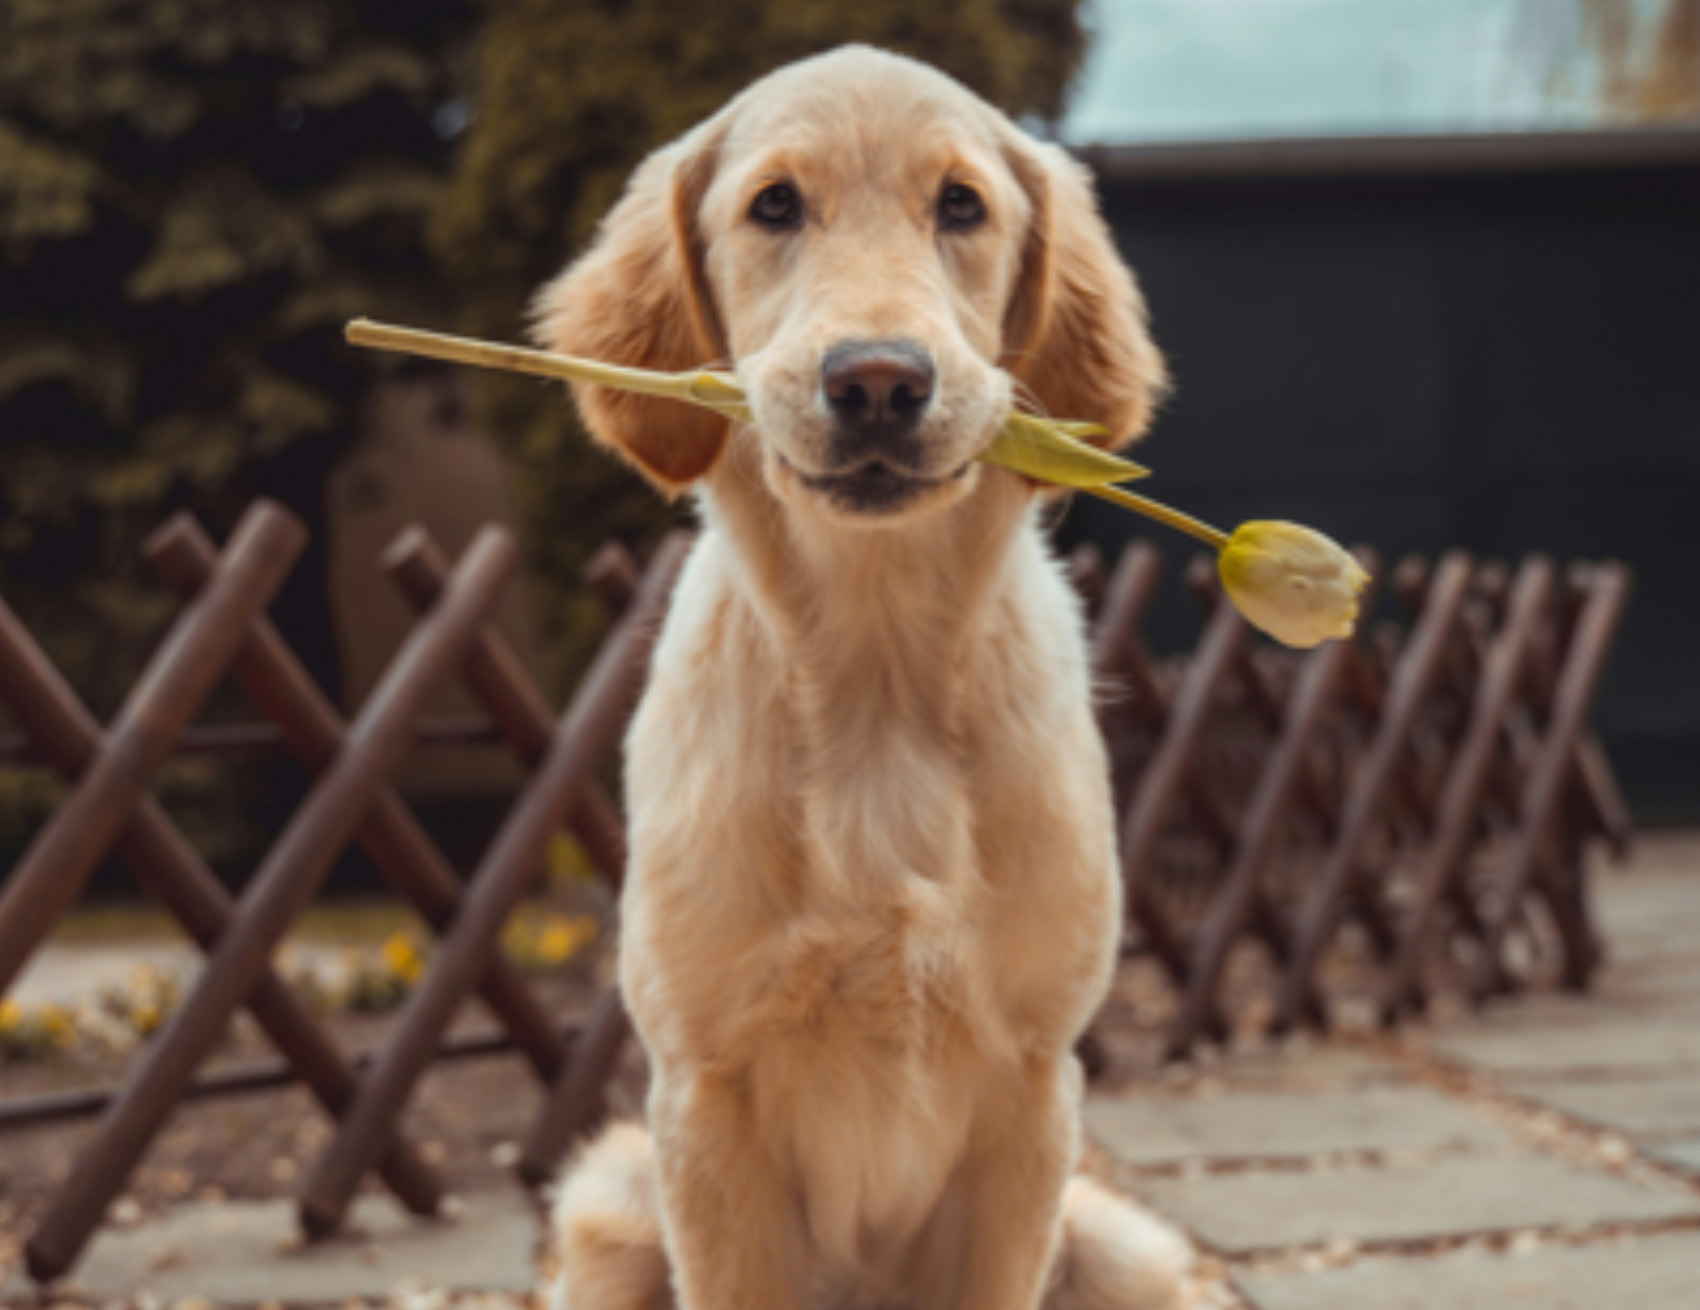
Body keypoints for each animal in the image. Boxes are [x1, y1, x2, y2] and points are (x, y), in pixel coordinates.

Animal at [537, 46, 1190, 1310]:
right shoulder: (702, 1092)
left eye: (961, 206)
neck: (877, 675)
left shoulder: (1033, 1089)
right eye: (774, 206)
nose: (879, 381)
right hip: (607, 1200)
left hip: (1127, 1246)